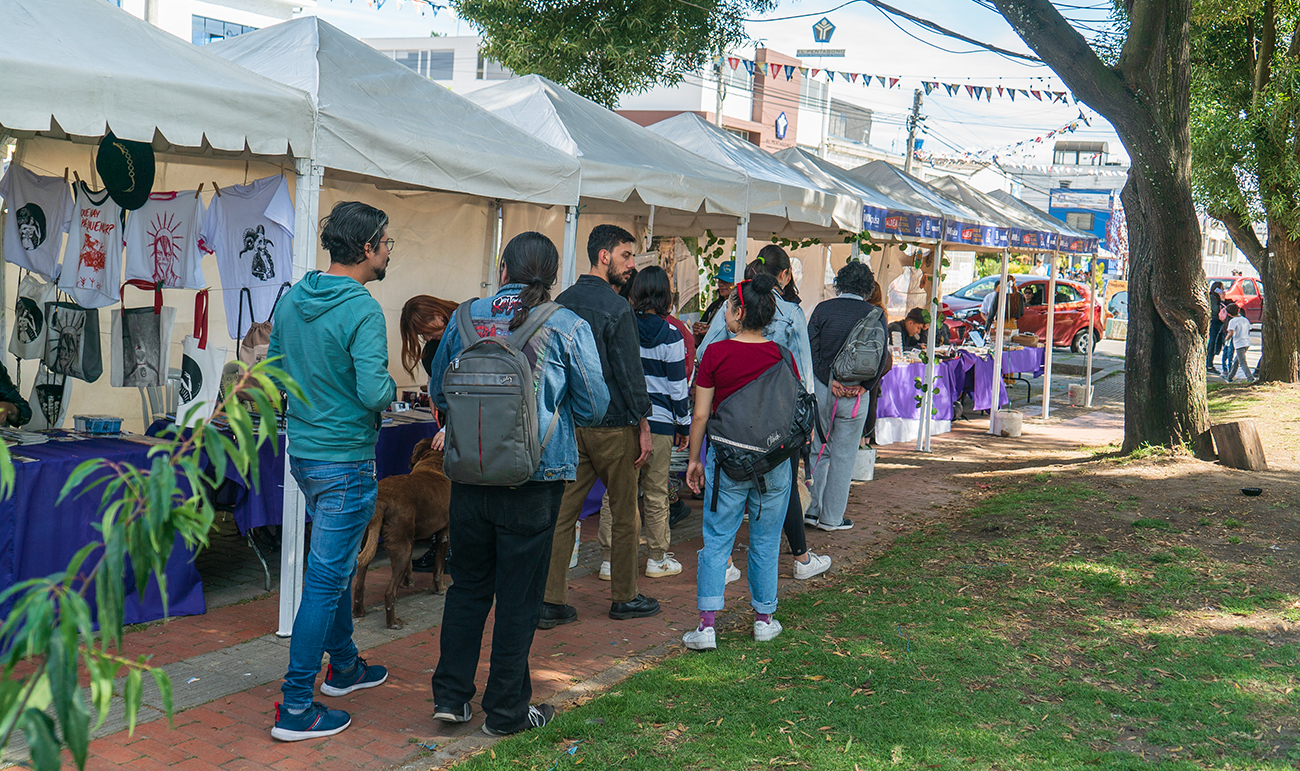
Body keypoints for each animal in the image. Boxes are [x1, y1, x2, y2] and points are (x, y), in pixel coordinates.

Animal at [356, 436, 452, 629]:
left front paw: (408, 582)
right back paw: (393, 622)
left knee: (359, 582)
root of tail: (381, 499)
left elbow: (410, 565)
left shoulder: (411, 536)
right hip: (401, 547)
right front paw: (439, 590)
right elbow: (438, 569)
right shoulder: (443, 534)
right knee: (389, 592)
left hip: (370, 541)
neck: (433, 464)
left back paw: (359, 612)